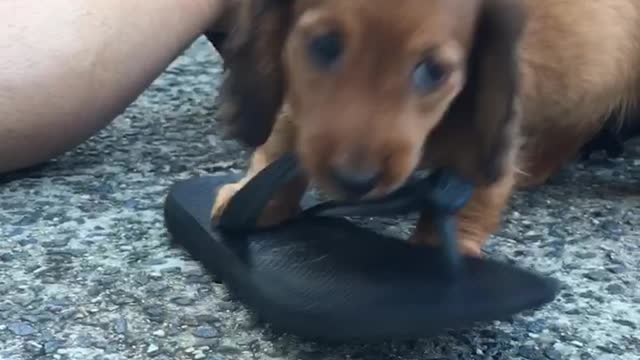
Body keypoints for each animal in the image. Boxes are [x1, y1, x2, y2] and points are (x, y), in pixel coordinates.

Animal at [212, 0, 640, 258]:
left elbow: (473, 196)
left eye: (433, 71)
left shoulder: (489, 132)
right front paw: (255, 199)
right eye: (325, 45)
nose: (356, 181)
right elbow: (283, 141)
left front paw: (436, 254)